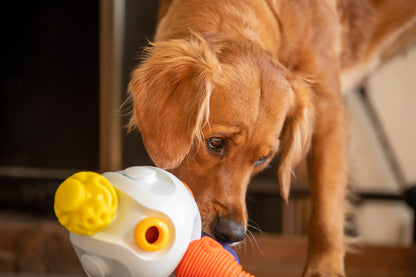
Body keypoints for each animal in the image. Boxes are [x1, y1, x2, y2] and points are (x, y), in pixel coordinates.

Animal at [129, 1, 416, 274]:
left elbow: (327, 209)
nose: (231, 233)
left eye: (262, 160)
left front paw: (324, 269)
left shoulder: (330, 112)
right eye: (215, 142)